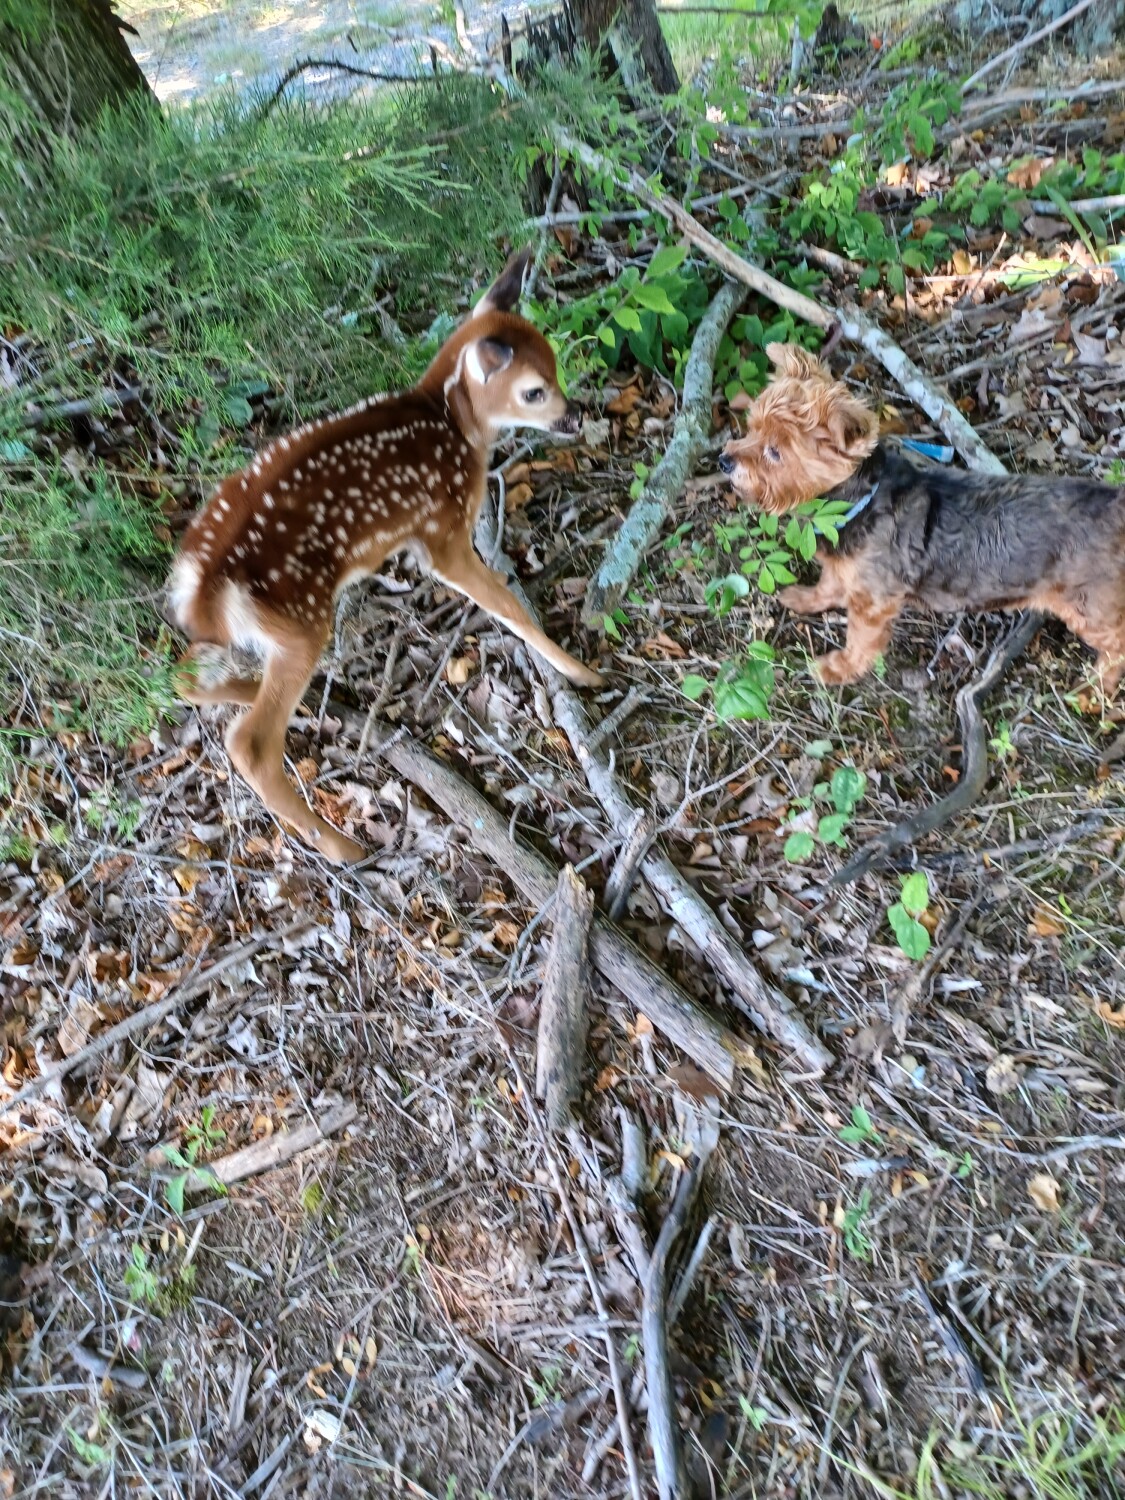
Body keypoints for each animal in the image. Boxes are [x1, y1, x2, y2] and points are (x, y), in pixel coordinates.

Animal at [168, 247, 603, 865]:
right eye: (534, 391)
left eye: (556, 365)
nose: (573, 417)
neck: (453, 422)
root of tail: (205, 584)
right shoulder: (441, 531)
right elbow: (506, 603)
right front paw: (581, 672)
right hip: (300, 620)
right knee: (249, 740)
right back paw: (341, 846)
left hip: (236, 632)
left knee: (185, 677)